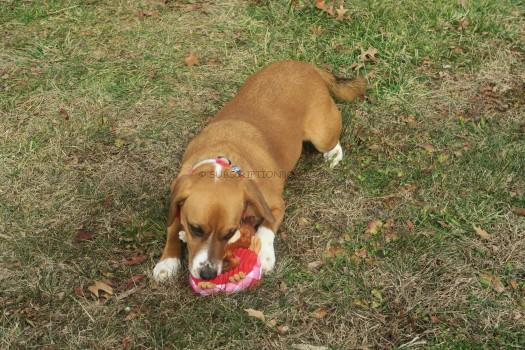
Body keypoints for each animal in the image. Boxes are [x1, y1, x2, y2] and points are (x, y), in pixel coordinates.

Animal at [152, 60, 364, 282]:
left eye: (230, 233)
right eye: (195, 229)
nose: (208, 274)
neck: (221, 161)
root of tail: (308, 66)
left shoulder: (275, 205)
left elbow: (266, 227)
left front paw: (264, 255)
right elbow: (172, 227)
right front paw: (167, 261)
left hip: (321, 135)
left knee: (332, 142)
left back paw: (333, 154)